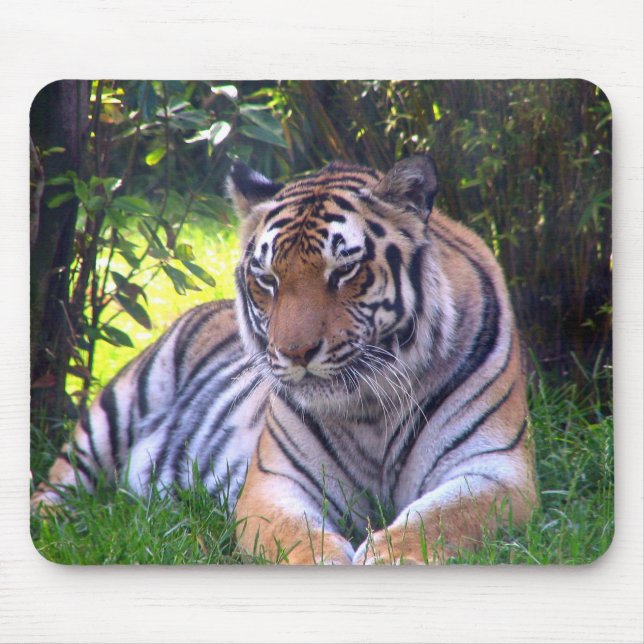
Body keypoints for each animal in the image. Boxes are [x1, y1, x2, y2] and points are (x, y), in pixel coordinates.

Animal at [31, 154, 537, 565]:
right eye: (267, 279)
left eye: (344, 271)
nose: (296, 352)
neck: (372, 408)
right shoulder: (275, 482)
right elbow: (298, 537)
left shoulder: (494, 471)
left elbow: (437, 522)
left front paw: (388, 558)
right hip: (115, 409)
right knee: (56, 485)